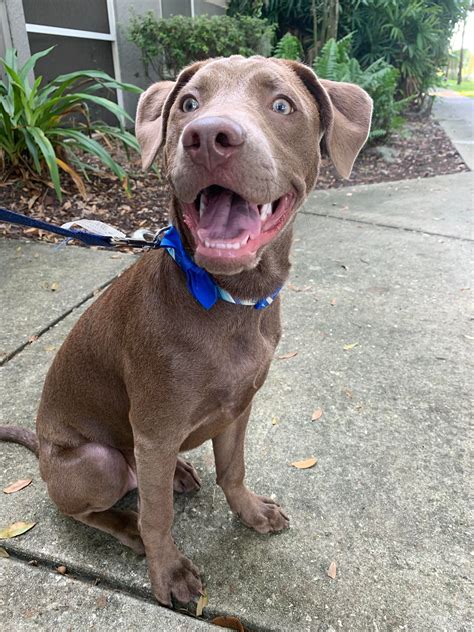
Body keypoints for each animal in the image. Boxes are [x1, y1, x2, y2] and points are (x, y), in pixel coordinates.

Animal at [0, 56, 372, 604]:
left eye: (282, 105)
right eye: (189, 104)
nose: (209, 137)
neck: (231, 298)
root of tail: (43, 453)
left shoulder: (239, 407)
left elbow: (233, 469)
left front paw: (251, 513)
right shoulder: (156, 430)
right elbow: (157, 517)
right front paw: (169, 572)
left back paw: (178, 472)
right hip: (97, 461)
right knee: (85, 507)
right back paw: (127, 526)